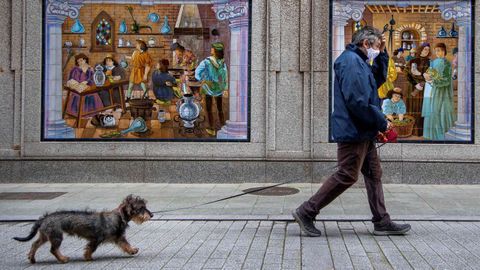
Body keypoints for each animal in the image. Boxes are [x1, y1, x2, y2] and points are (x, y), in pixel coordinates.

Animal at [13, 194, 153, 264]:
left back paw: (32, 258)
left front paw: (132, 250)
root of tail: (44, 218)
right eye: (141, 208)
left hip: (45, 235)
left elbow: (125, 244)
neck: (118, 216)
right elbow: (91, 248)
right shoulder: (97, 238)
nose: (152, 215)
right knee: (53, 249)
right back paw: (63, 259)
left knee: (34, 244)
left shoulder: (119, 237)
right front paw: (87, 257)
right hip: (56, 236)